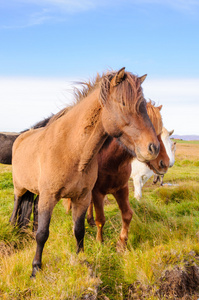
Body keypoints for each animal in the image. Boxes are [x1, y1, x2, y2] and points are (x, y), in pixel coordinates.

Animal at [64, 101, 169, 248]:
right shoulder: (98, 192)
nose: (164, 163)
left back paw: (89, 220)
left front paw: (122, 243)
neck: (112, 161)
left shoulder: (121, 189)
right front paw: (100, 241)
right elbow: (101, 218)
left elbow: (127, 215)